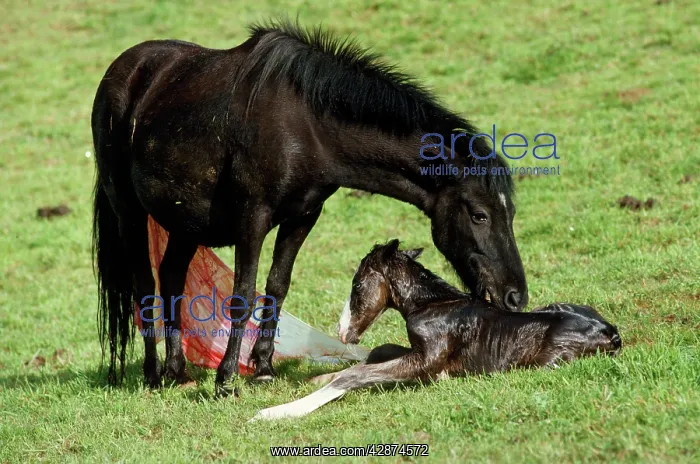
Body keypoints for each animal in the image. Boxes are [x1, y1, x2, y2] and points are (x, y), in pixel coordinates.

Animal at [91, 19, 528, 397]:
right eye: (479, 215)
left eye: (509, 213)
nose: (515, 297)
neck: (305, 124)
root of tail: (122, 70)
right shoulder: (253, 218)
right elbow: (243, 294)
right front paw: (227, 379)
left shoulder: (303, 217)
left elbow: (277, 286)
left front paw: (263, 368)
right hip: (128, 211)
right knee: (144, 283)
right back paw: (153, 374)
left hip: (185, 222)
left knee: (171, 278)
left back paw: (178, 371)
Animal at [251, 240, 621, 420]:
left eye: (357, 285)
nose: (343, 332)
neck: (432, 305)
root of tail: (610, 332)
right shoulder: (416, 351)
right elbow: (376, 353)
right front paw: (315, 378)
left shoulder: (427, 361)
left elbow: (356, 374)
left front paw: (275, 413)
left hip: (549, 361)